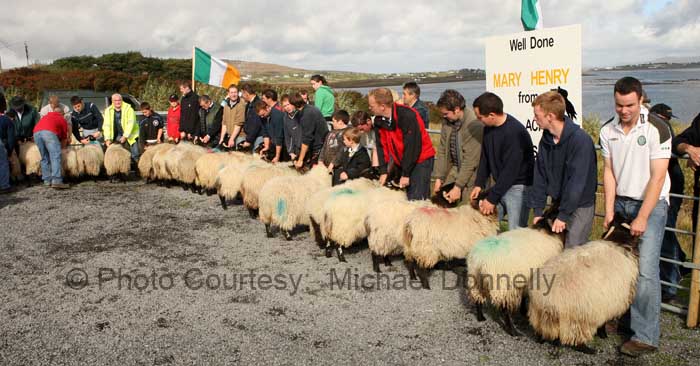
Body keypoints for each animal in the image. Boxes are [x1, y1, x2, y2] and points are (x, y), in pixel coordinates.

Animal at [468, 209, 568, 338]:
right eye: (556, 214)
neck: (546, 231)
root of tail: (481, 259)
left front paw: (523, 311)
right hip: (503, 285)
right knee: (504, 309)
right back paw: (512, 331)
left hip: (475, 280)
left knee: (477, 299)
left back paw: (481, 318)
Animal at [524, 216, 640, 354]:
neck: (618, 241)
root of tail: (545, 302)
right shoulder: (608, 302)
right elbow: (603, 323)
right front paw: (603, 335)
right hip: (578, 320)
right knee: (576, 339)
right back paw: (588, 349)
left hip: (538, 316)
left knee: (541, 334)